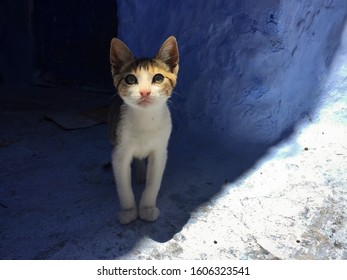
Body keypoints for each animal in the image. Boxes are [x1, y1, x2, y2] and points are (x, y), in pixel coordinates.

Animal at [109, 36, 179, 224]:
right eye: (131, 79)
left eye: (158, 78)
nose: (145, 92)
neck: (146, 119)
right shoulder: (120, 151)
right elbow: (123, 185)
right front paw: (129, 210)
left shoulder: (160, 151)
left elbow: (153, 182)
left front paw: (147, 208)